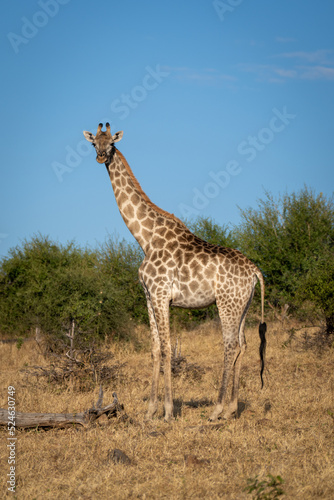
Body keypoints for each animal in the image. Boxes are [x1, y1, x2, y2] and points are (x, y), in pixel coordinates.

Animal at [84, 123, 268, 420]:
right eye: (93, 143)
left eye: (111, 143)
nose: (101, 156)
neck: (145, 238)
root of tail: (255, 271)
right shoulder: (148, 297)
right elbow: (155, 349)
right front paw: (150, 411)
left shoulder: (161, 295)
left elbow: (168, 349)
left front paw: (168, 411)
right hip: (244, 305)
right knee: (243, 344)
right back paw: (231, 409)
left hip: (226, 303)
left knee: (230, 345)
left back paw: (216, 409)